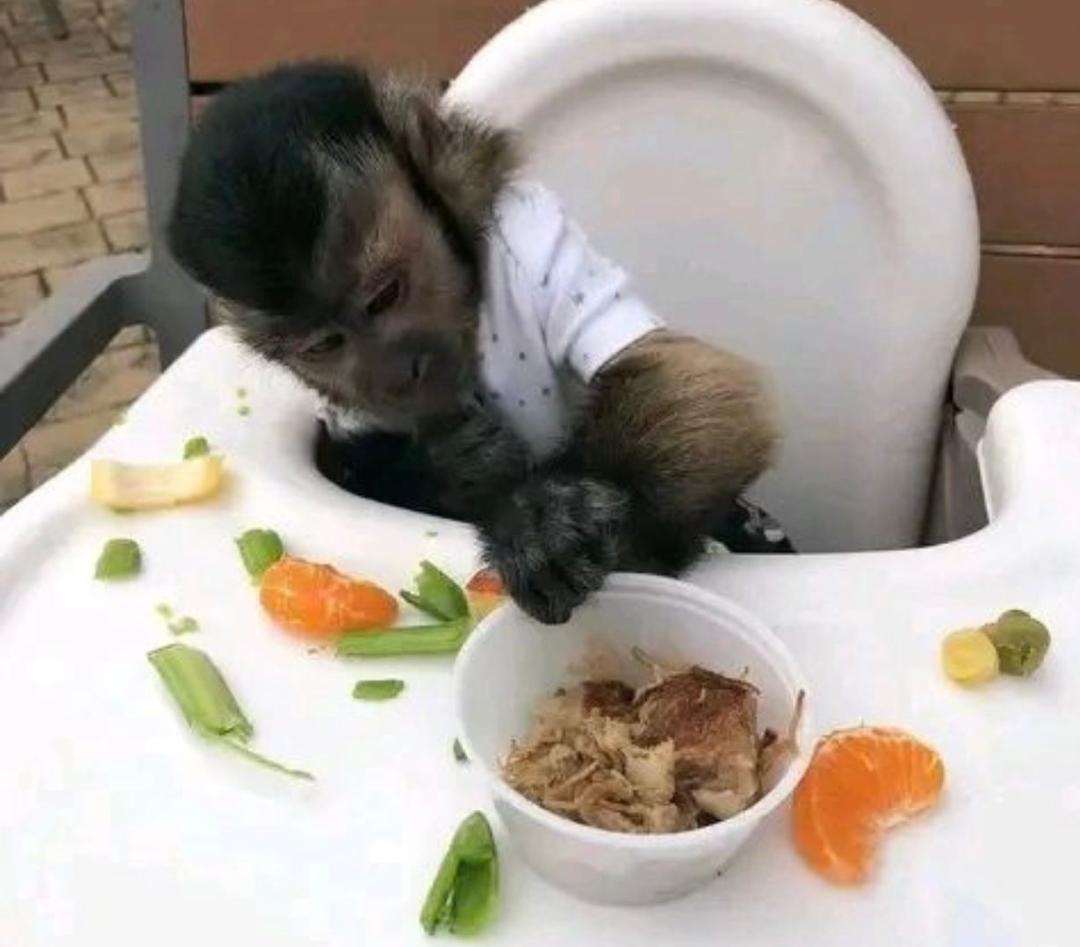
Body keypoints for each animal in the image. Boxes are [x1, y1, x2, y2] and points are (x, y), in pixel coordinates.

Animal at [168, 61, 789, 625]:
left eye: (385, 296)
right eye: (323, 345)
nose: (398, 372)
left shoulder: (531, 241)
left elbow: (681, 371)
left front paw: (571, 529)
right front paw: (473, 478)